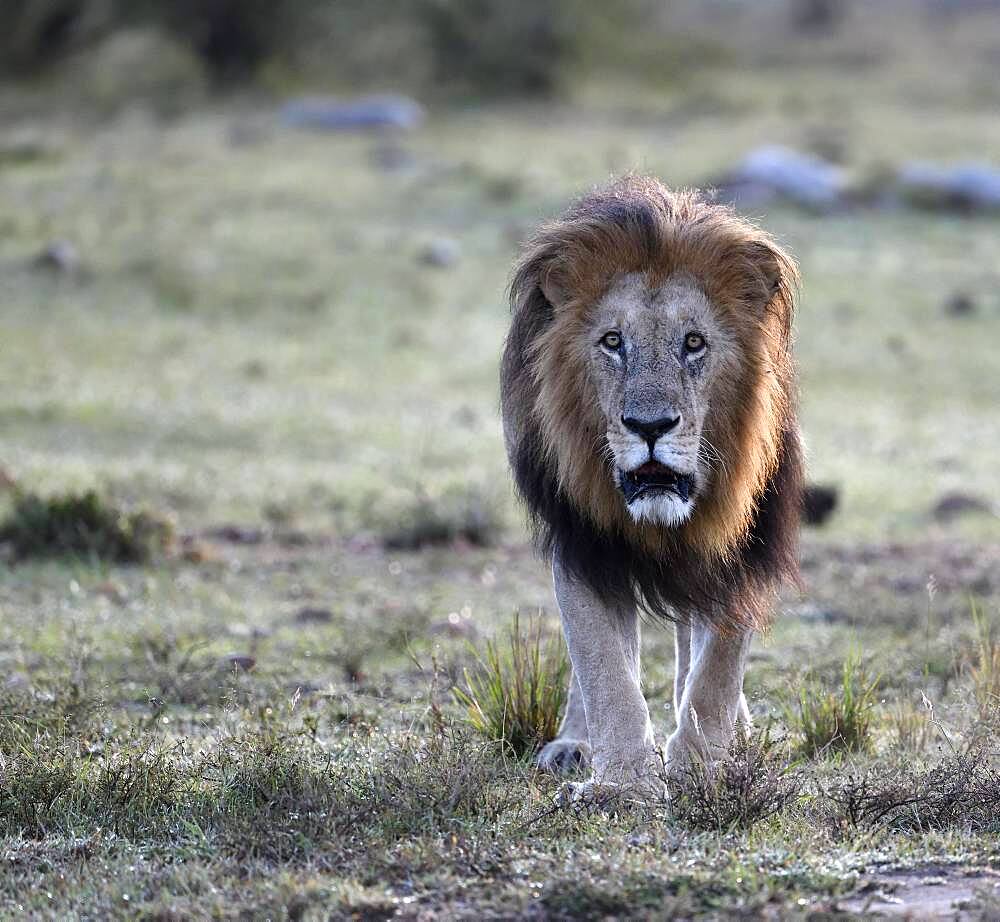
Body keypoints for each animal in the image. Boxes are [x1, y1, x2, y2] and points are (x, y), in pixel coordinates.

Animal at [500, 178, 804, 796]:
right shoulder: (583, 541)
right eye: (613, 341)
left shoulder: (746, 544)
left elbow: (717, 671)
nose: (649, 426)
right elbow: (604, 667)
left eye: (694, 343)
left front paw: (700, 766)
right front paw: (623, 781)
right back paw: (574, 745)